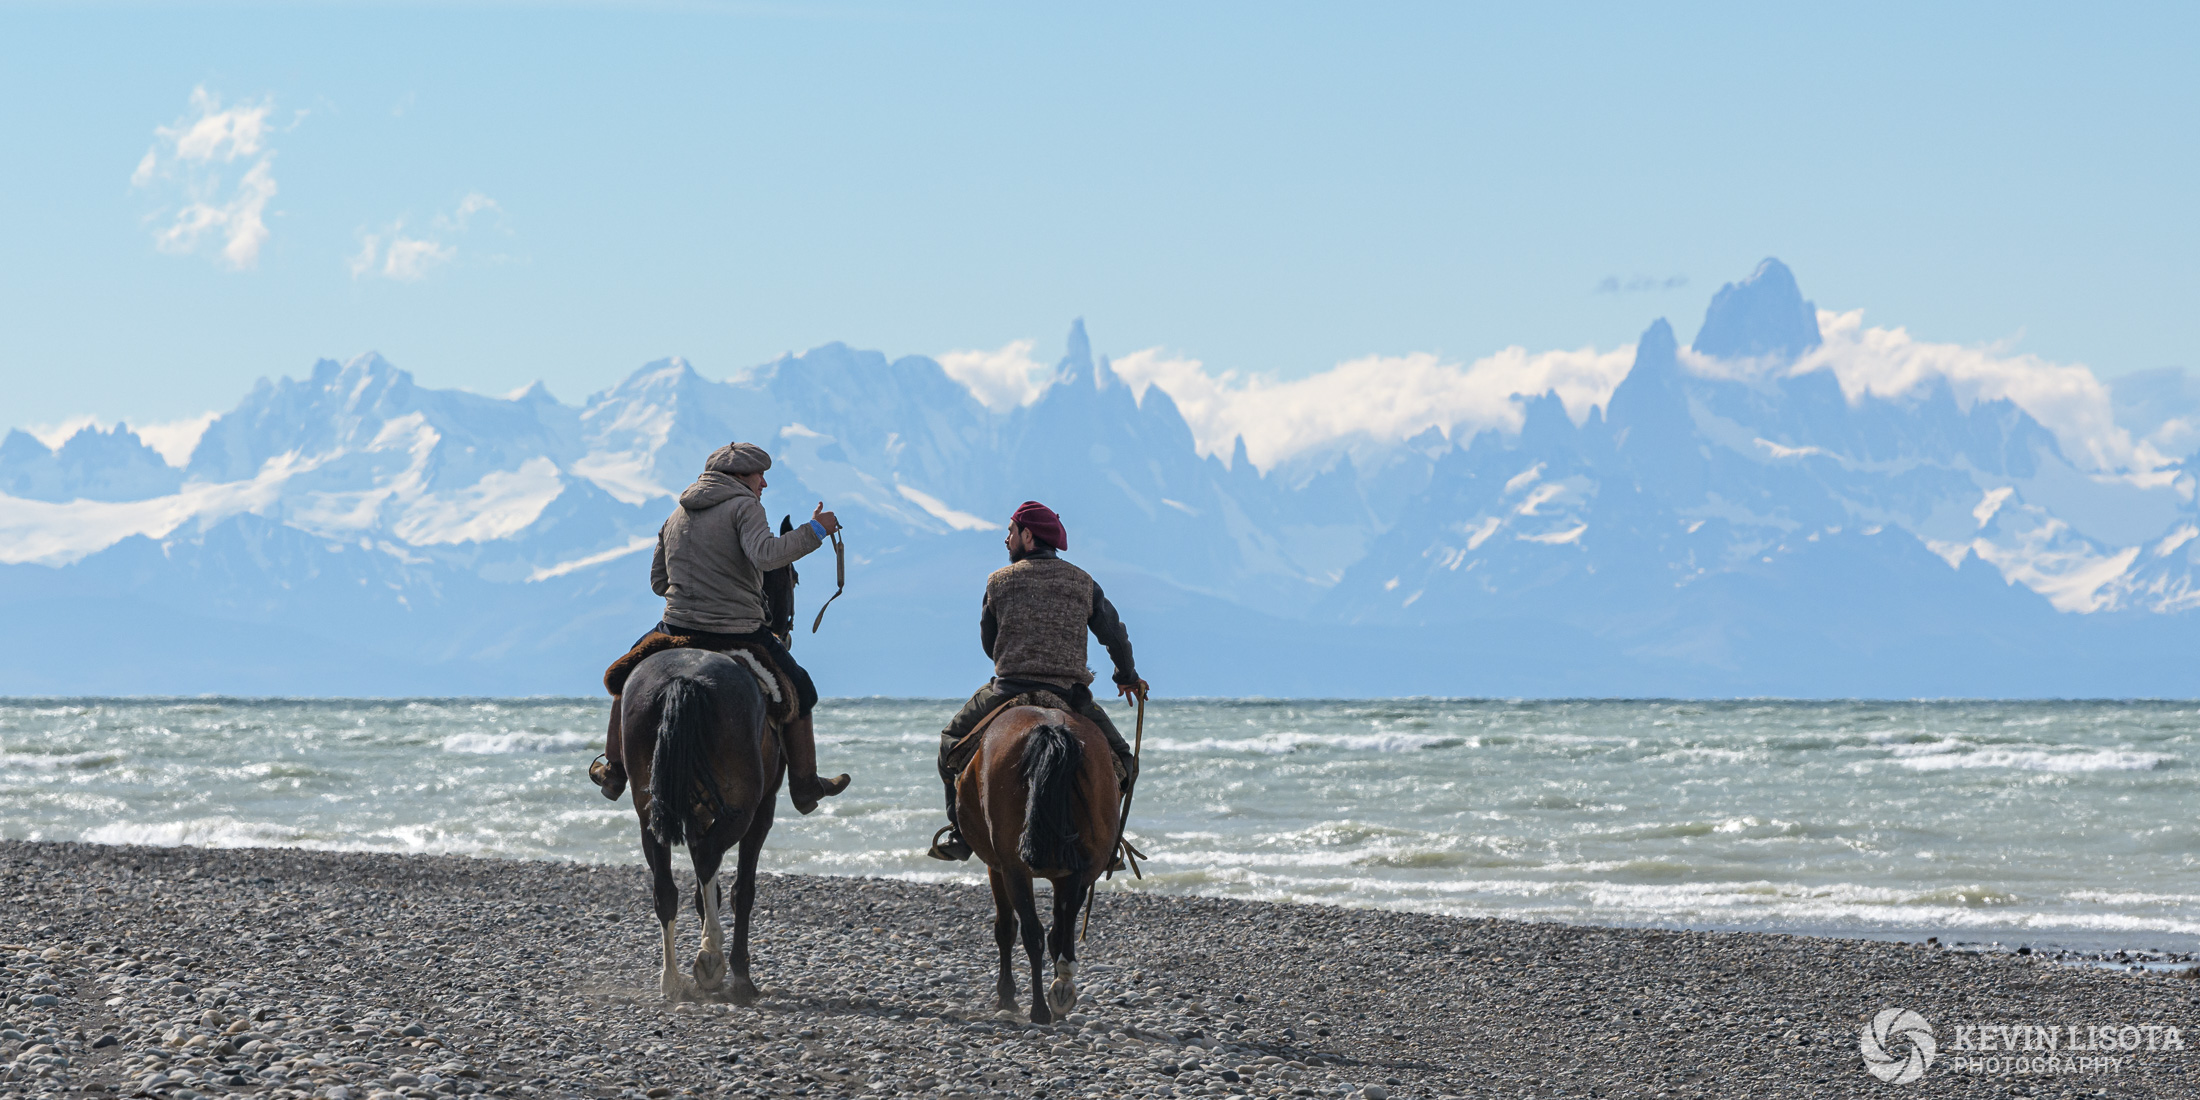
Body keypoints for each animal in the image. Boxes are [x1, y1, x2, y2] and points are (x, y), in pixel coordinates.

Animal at [624, 646, 787, 1003]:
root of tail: (685, 679)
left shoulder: (696, 815)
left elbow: (703, 887)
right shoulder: (763, 810)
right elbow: (742, 890)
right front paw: (741, 975)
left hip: (651, 813)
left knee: (666, 890)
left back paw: (672, 980)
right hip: (742, 809)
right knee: (709, 857)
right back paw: (711, 955)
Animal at [954, 704, 1117, 1020]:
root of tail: (1051, 728)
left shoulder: (998, 867)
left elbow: (1006, 929)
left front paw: (1006, 996)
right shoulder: (1070, 874)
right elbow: (1058, 930)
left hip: (1014, 869)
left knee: (1031, 933)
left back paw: (1039, 1009)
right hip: (1082, 866)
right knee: (1056, 931)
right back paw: (1061, 991)